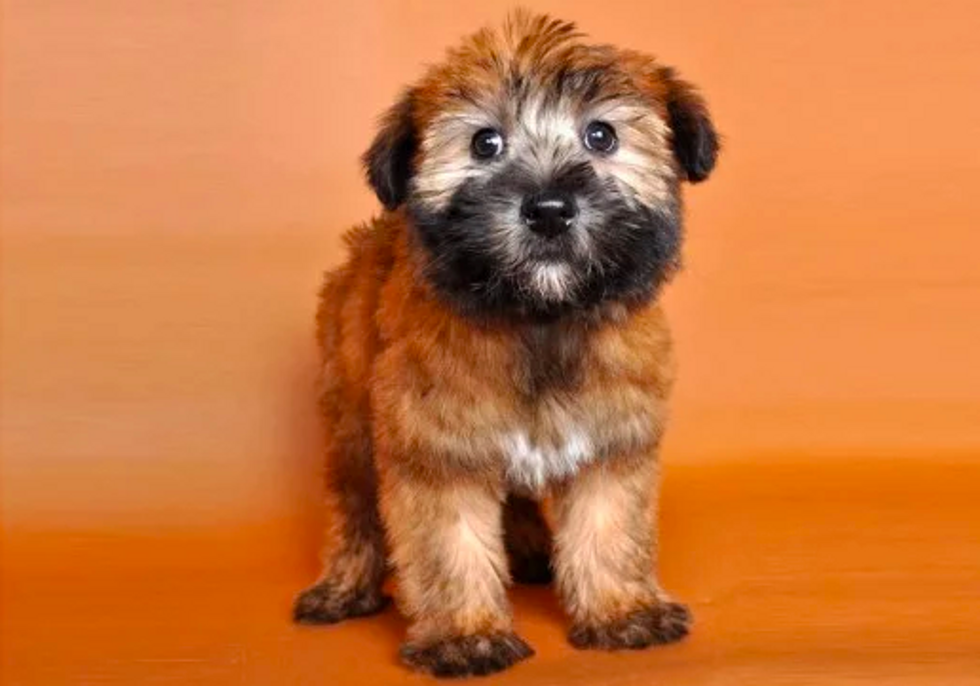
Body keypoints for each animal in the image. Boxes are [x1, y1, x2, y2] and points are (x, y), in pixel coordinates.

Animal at [294, 13, 716, 680]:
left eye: (601, 135)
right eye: (484, 144)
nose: (548, 210)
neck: (538, 319)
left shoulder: (610, 442)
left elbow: (609, 529)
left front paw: (623, 612)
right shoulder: (438, 450)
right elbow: (452, 546)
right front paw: (466, 635)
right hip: (352, 422)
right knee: (354, 508)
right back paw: (342, 586)